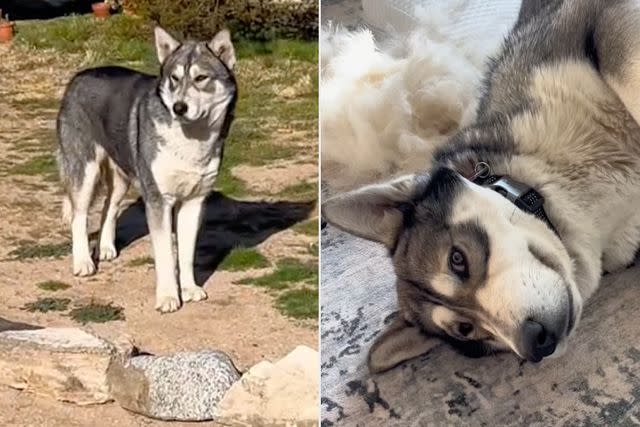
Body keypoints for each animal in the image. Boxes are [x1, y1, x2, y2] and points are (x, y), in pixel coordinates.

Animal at [57, 27, 238, 314]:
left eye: (201, 78)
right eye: (174, 79)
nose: (178, 108)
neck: (191, 138)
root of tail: (79, 76)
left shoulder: (194, 203)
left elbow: (186, 255)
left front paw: (189, 289)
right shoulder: (158, 201)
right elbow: (165, 256)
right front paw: (167, 297)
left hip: (122, 178)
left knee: (108, 207)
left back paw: (105, 247)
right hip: (85, 172)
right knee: (79, 215)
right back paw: (83, 262)